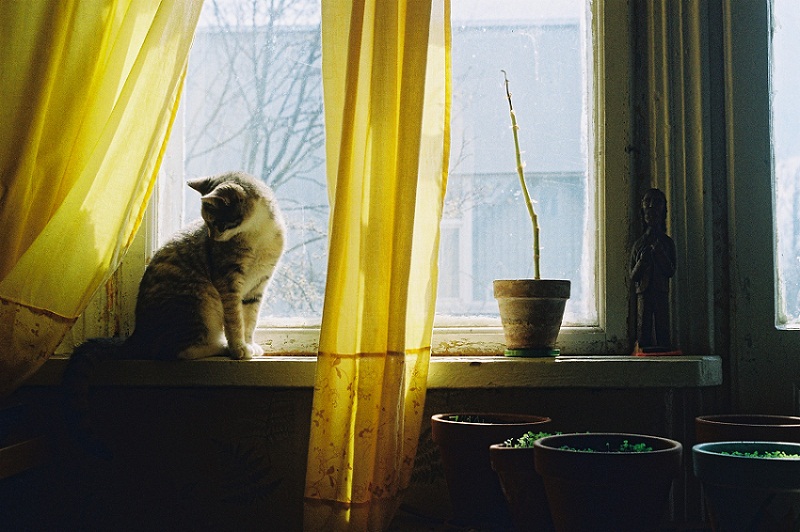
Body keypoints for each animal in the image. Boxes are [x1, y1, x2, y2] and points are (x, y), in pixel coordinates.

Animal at [62, 170, 285, 455]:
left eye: (217, 222)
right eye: (207, 223)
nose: (212, 238)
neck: (257, 233)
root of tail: (137, 336)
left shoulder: (257, 288)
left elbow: (250, 322)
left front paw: (249, 344)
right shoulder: (228, 284)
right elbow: (235, 321)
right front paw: (238, 348)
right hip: (199, 302)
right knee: (177, 351)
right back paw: (219, 346)